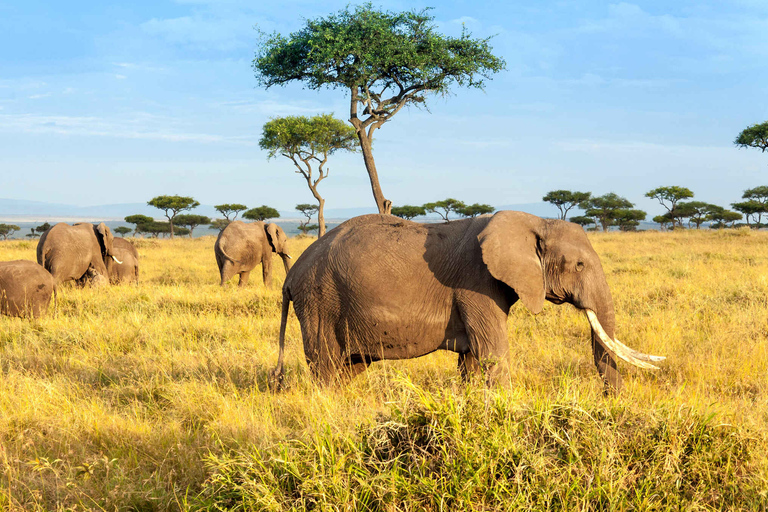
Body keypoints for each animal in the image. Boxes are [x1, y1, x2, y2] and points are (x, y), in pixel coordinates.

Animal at [272, 212, 664, 392]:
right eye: (579, 265)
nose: (612, 402)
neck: (535, 221)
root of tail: (291, 277)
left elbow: (473, 361)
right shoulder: (475, 283)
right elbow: (493, 353)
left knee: (349, 368)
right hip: (320, 299)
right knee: (326, 366)